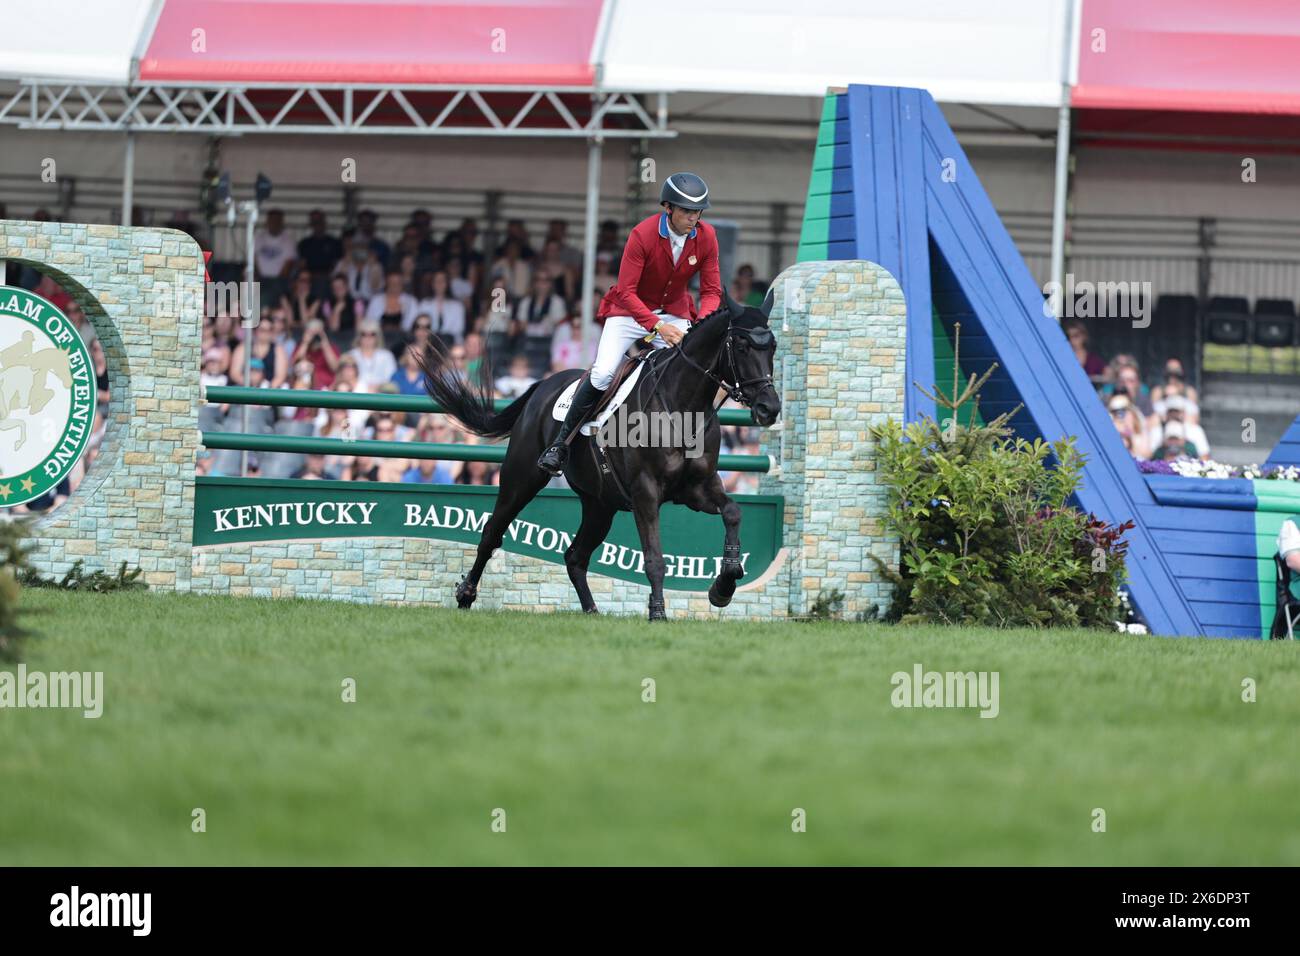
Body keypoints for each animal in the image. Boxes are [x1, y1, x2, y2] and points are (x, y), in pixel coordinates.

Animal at [421, 291, 774, 621]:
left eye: (772, 347)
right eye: (742, 345)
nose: (769, 408)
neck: (683, 407)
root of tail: (542, 386)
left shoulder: (697, 488)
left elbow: (733, 513)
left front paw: (724, 586)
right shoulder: (646, 490)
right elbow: (655, 558)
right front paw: (658, 612)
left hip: (600, 503)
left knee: (575, 556)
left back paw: (591, 610)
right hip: (522, 478)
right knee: (493, 531)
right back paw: (466, 593)